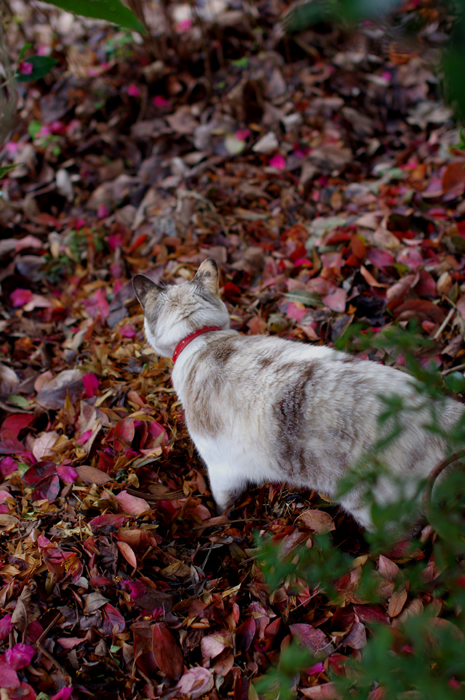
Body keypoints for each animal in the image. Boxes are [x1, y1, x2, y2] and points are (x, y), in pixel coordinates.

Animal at [132, 258, 462, 532]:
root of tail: (438, 410)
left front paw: (219, 518)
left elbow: (222, 504)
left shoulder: (221, 468)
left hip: (373, 507)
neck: (202, 338)